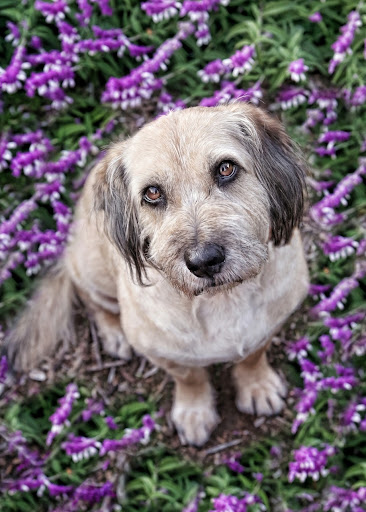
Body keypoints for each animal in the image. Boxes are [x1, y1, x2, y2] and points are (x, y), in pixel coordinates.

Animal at [5, 103, 308, 444]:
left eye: (226, 169)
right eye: (152, 193)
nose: (204, 261)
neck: (221, 299)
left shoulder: (270, 324)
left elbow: (254, 354)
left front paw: (257, 386)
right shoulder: (164, 353)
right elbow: (190, 377)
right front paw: (194, 413)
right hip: (91, 269)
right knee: (91, 298)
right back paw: (113, 333)